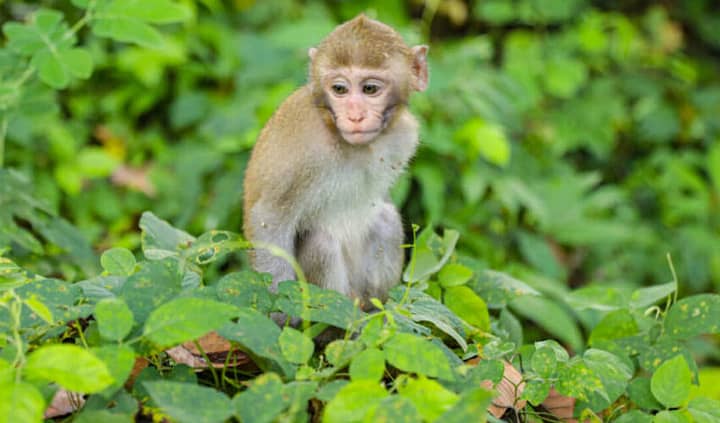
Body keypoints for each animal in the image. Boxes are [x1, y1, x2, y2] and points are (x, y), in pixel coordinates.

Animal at [245, 14, 430, 314]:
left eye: (370, 89)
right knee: (322, 243)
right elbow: (269, 219)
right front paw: (278, 313)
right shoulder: (304, 149)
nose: (354, 116)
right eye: (339, 89)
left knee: (386, 219)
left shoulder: (404, 135)